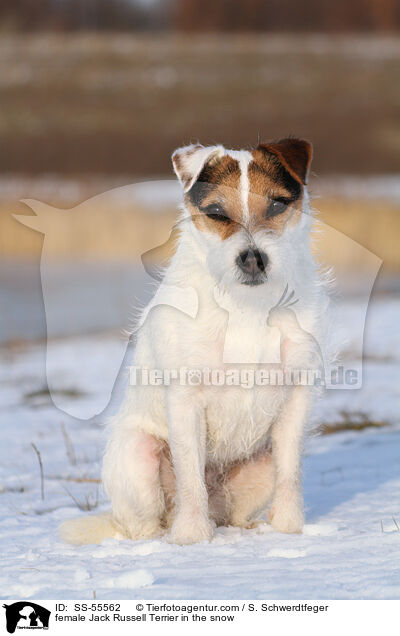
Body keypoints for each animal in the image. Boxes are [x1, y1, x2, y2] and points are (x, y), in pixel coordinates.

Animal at [60, 137, 332, 544]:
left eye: (277, 204)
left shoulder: (295, 397)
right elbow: (190, 477)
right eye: (217, 213)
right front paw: (192, 539)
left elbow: (290, 473)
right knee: (147, 522)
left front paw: (288, 529)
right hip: (138, 456)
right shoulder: (186, 401)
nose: (254, 259)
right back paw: (164, 536)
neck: (246, 305)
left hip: (259, 464)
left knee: (235, 511)